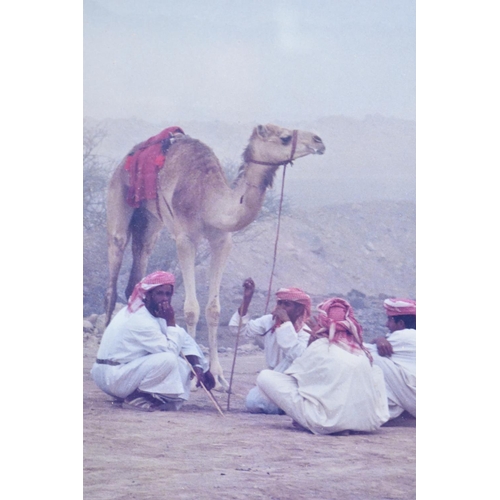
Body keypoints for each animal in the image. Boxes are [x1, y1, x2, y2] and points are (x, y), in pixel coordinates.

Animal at [104, 124, 324, 390]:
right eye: (284, 138)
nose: (319, 141)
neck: (208, 200)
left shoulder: (222, 241)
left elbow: (214, 309)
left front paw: (218, 376)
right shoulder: (185, 239)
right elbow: (191, 309)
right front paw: (194, 375)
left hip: (150, 219)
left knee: (141, 253)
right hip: (118, 194)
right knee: (115, 259)